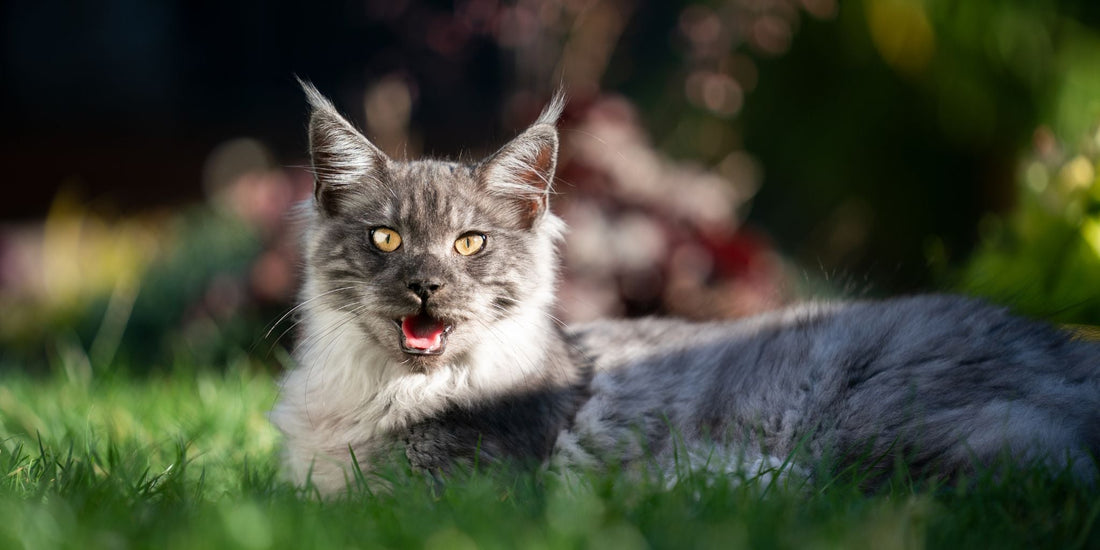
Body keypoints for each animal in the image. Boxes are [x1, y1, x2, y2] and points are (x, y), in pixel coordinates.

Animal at [268, 82, 1100, 499]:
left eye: (470, 243)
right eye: (386, 239)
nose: (425, 286)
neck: (380, 396)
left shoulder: (458, 487)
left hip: (886, 430)